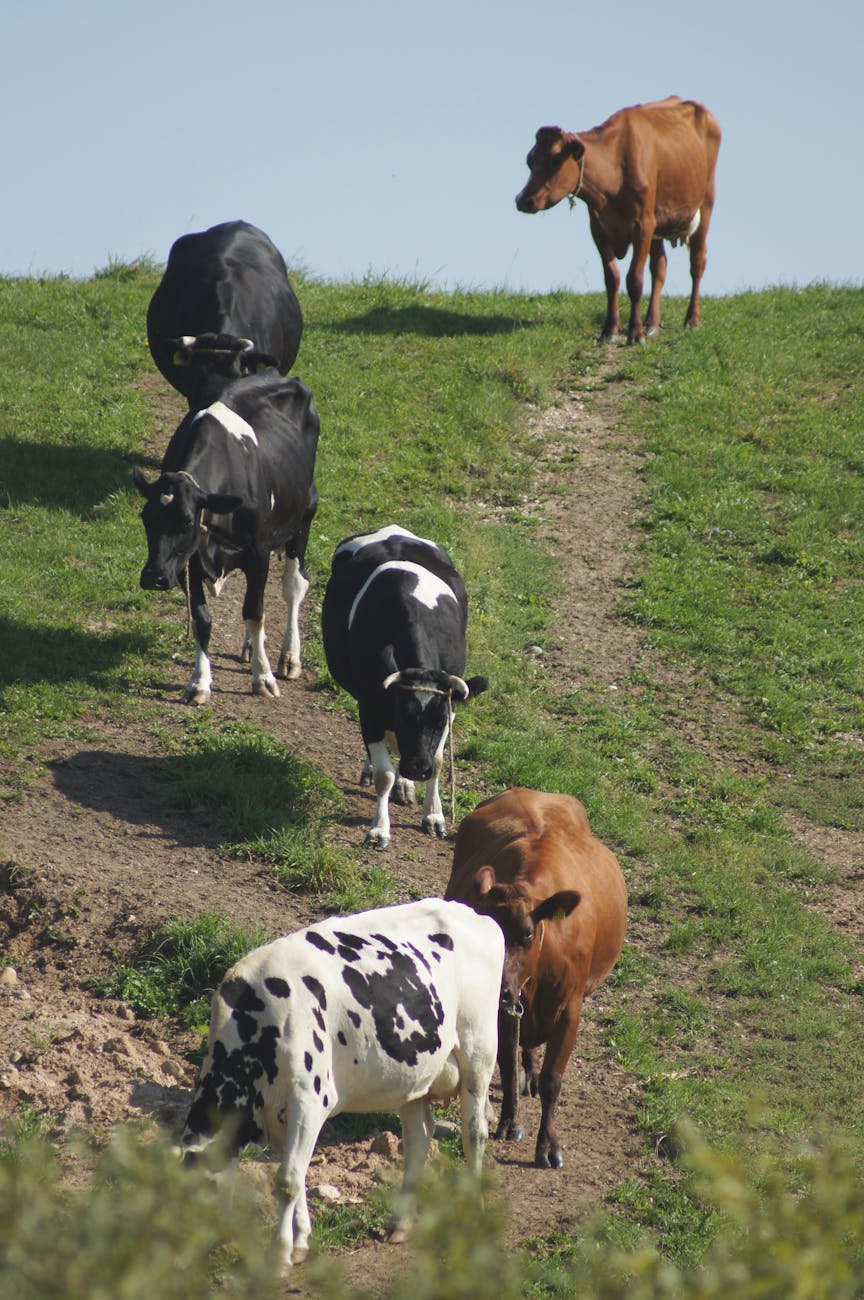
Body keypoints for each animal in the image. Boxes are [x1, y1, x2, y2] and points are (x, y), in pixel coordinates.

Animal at [132, 370, 319, 705]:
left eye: (187, 521)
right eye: (146, 518)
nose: (153, 576)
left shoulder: (258, 552)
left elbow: (255, 613)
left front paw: (263, 677)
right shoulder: (189, 562)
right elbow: (202, 619)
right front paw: (199, 682)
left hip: (305, 513)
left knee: (294, 586)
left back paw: (288, 657)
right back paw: (250, 647)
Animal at [180, 898, 504, 1272]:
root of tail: (471, 912)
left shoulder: (309, 1099)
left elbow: (287, 1181)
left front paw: (279, 1256)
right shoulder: (279, 1114)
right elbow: (297, 1175)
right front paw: (300, 1244)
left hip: (478, 1050)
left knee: (474, 1132)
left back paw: (474, 1210)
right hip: (414, 1074)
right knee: (418, 1138)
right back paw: (400, 1223)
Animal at [320, 525, 488, 848]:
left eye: (439, 722)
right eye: (402, 716)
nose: (417, 767)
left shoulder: (450, 707)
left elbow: (439, 761)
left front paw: (434, 816)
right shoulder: (371, 706)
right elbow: (384, 773)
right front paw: (379, 829)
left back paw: (406, 784)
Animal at [444, 787, 627, 1170]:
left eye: (527, 935)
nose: (498, 988)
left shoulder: (569, 1008)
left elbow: (552, 1080)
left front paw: (548, 1144)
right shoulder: (503, 1009)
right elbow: (507, 1065)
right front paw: (510, 1122)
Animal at [515, 97, 721, 345]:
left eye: (555, 161)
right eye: (530, 160)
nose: (523, 200)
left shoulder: (643, 224)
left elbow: (634, 280)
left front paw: (635, 333)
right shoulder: (598, 227)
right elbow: (611, 278)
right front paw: (610, 330)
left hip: (705, 203)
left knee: (697, 262)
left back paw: (691, 320)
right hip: (659, 222)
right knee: (659, 267)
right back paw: (652, 323)